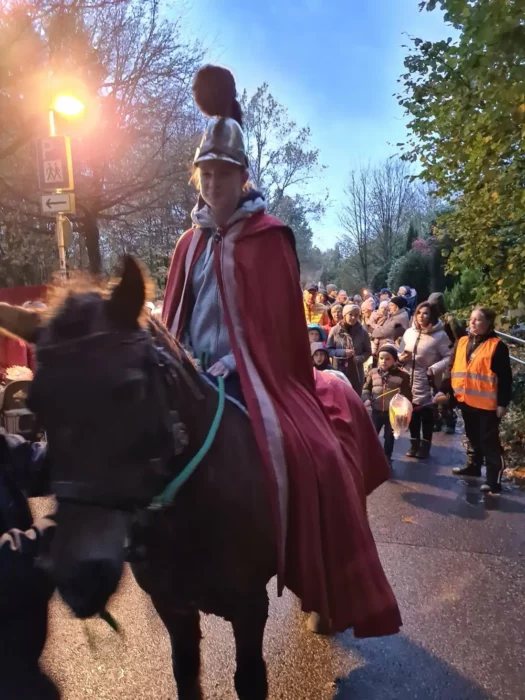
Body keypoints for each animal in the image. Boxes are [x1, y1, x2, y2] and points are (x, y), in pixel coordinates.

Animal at [0, 258, 276, 700]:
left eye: (130, 389)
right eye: (36, 404)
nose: (80, 580)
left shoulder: (250, 607)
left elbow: (249, 679)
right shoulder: (173, 606)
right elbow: (186, 673)